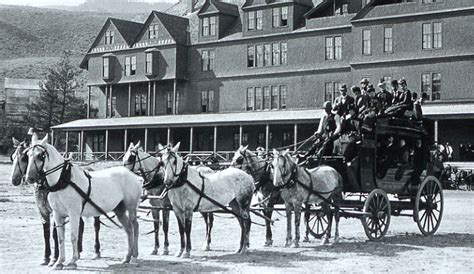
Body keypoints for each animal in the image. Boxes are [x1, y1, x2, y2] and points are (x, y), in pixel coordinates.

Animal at [9, 137, 102, 266]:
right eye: (12, 157)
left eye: (24, 158)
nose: (14, 180)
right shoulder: (43, 211)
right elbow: (46, 233)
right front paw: (46, 257)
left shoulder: (55, 211)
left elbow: (54, 234)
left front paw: (54, 258)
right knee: (81, 225)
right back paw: (78, 251)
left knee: (96, 226)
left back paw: (96, 251)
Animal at [24, 135, 143, 270]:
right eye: (27, 154)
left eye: (41, 155)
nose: (29, 178)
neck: (63, 180)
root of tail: (132, 174)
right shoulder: (57, 214)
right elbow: (60, 238)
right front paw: (59, 262)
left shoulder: (74, 214)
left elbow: (73, 236)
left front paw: (72, 261)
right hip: (119, 210)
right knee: (128, 229)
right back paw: (127, 257)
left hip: (131, 207)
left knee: (135, 227)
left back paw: (134, 257)